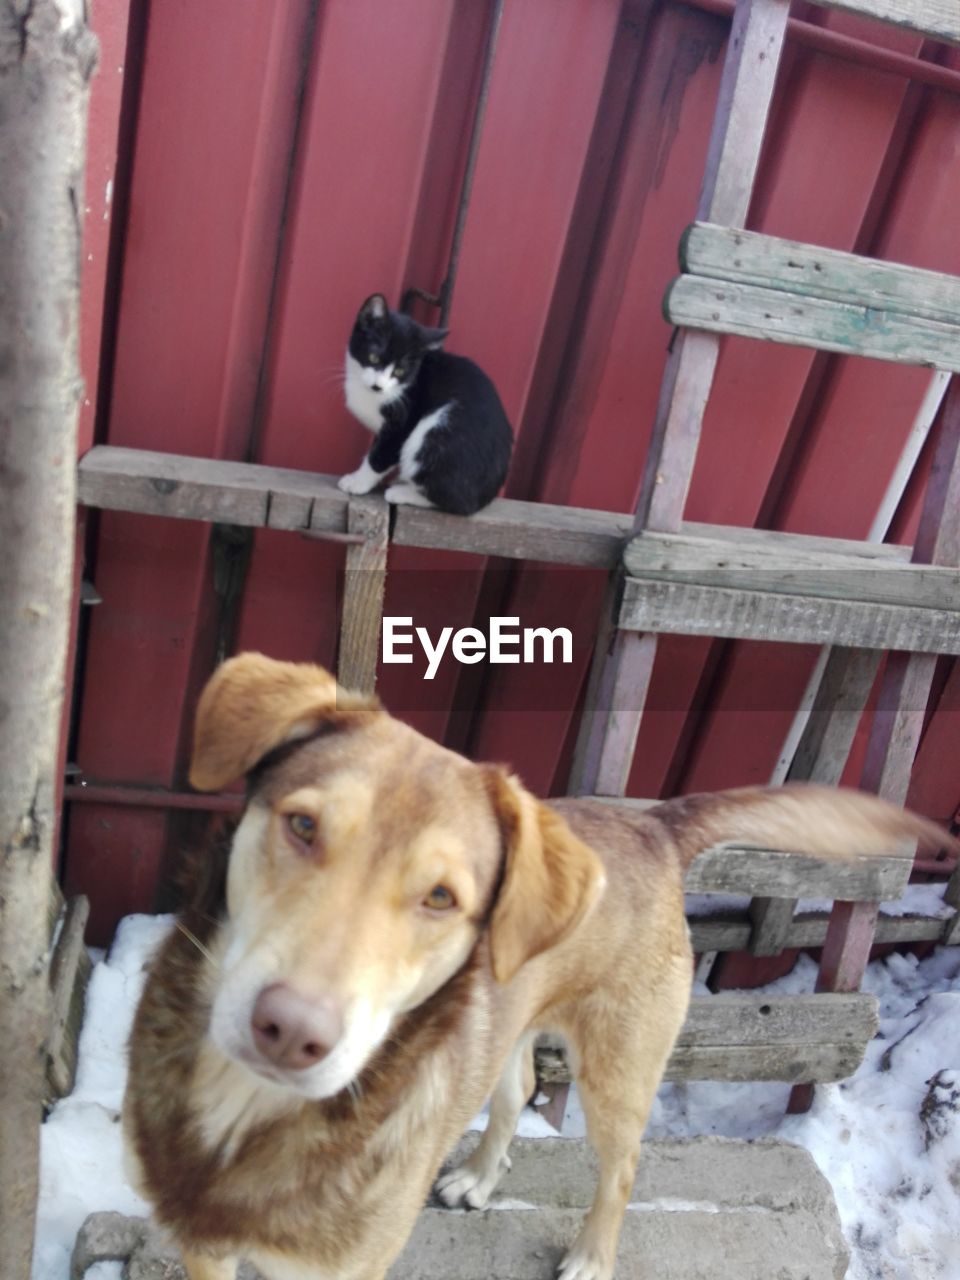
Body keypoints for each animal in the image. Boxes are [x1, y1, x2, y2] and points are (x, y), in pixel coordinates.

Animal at [124, 655, 952, 1280]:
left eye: (440, 897)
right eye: (301, 825)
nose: (291, 1033)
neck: (247, 1115)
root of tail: (655, 826)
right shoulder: (204, 1250)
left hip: (620, 1071)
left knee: (622, 1165)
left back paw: (591, 1257)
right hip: (512, 1022)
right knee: (518, 1082)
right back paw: (478, 1175)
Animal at [340, 293, 514, 512]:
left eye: (400, 371)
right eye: (374, 357)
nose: (378, 386)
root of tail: (486, 497)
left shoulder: (403, 420)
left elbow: (381, 454)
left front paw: (357, 482)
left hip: (435, 432)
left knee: (460, 504)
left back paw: (402, 492)